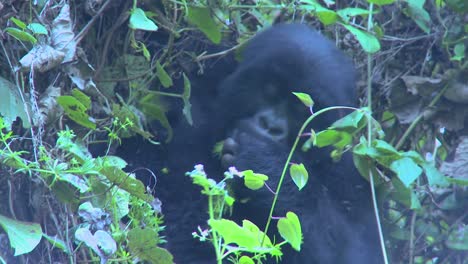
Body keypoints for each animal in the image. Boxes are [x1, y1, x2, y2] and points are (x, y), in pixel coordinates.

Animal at [119, 23, 382, 262]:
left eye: (300, 109)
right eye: (267, 91)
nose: (270, 125)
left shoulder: (353, 179)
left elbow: (359, 253)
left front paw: (264, 161)